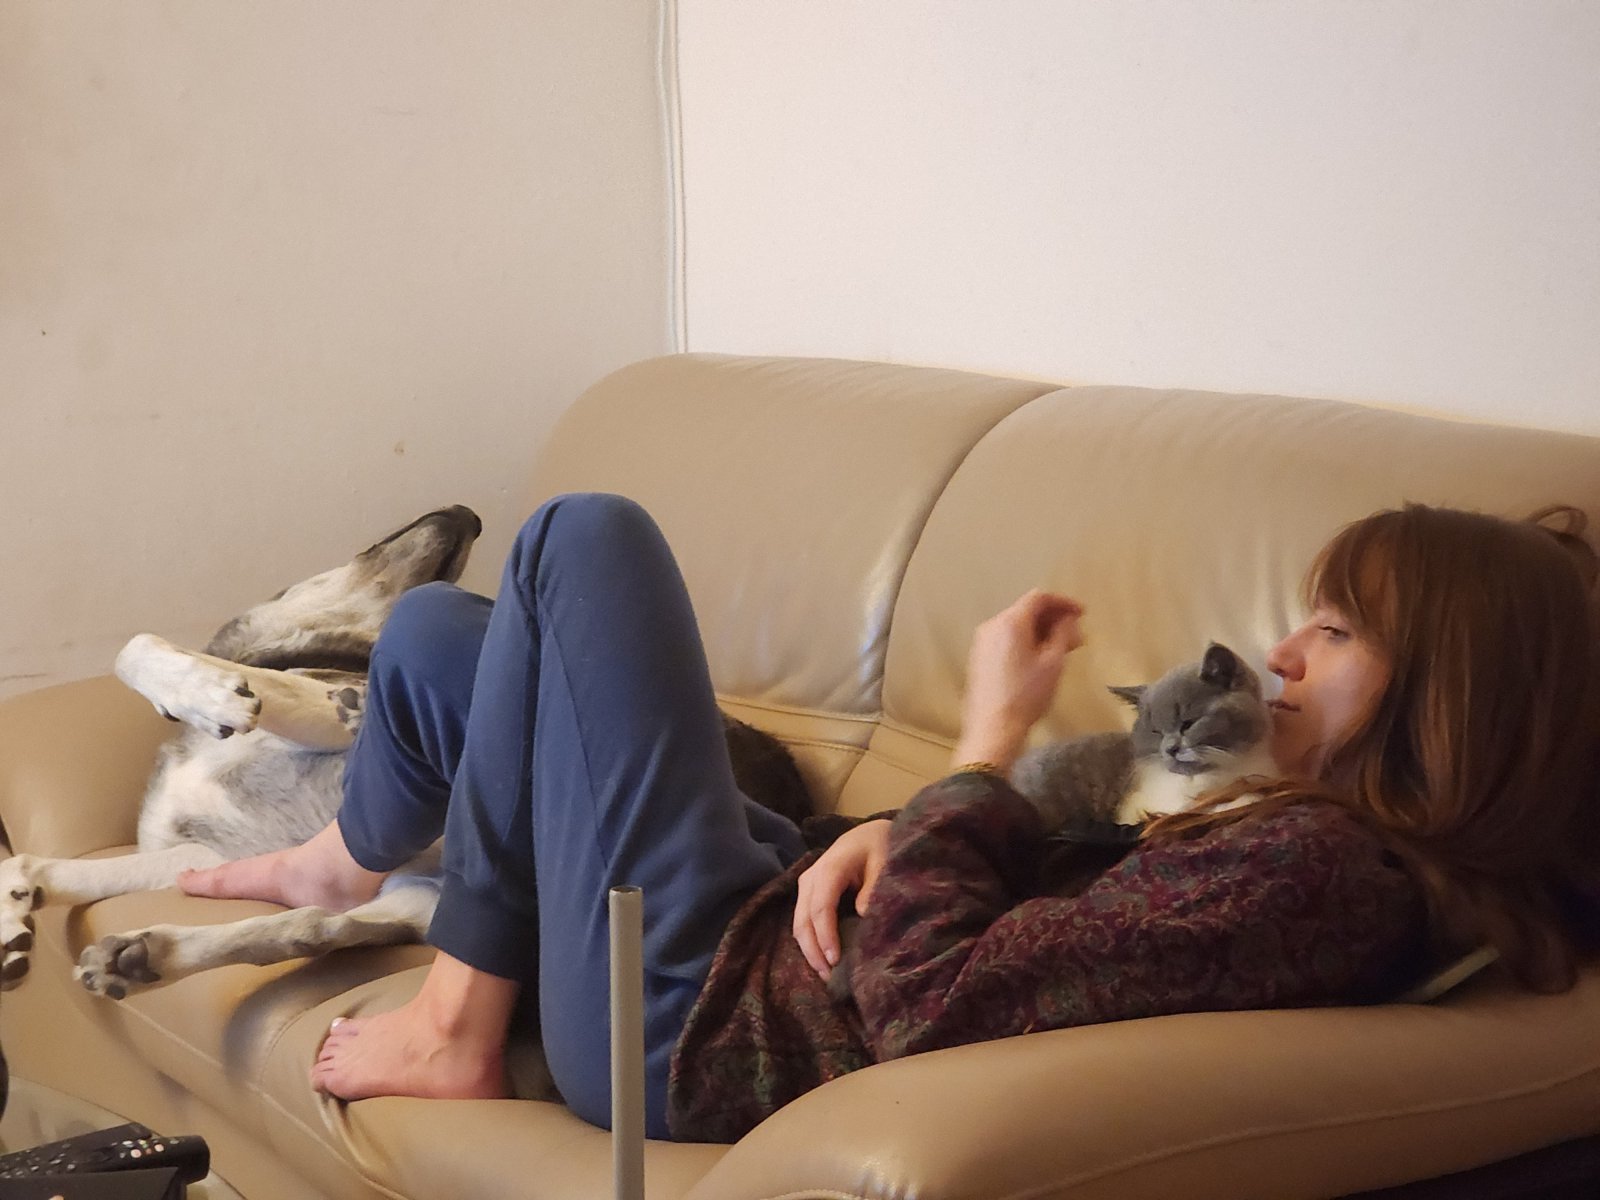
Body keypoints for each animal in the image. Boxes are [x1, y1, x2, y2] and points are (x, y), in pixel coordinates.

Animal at [0, 505, 812, 1001]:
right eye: (367, 548)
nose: (469, 514)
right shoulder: (202, 857)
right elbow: (65, 868)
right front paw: (16, 905)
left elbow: (141, 647)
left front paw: (208, 692)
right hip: (415, 895)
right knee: (313, 926)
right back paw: (146, 955)